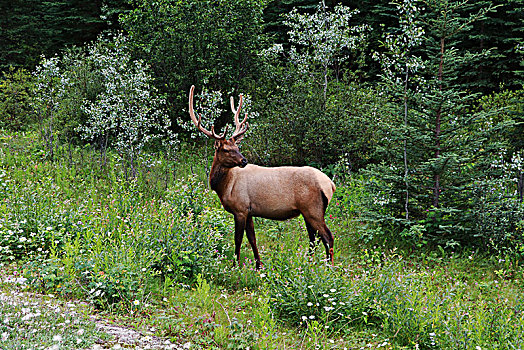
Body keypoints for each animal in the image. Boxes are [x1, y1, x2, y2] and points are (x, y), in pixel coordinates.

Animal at [188, 86, 336, 270]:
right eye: (227, 149)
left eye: (237, 147)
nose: (243, 160)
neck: (224, 187)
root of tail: (330, 185)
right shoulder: (249, 210)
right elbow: (252, 238)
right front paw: (259, 266)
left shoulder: (240, 208)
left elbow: (238, 239)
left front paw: (235, 265)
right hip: (309, 211)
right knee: (313, 238)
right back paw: (308, 264)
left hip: (313, 208)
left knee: (327, 237)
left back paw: (329, 268)